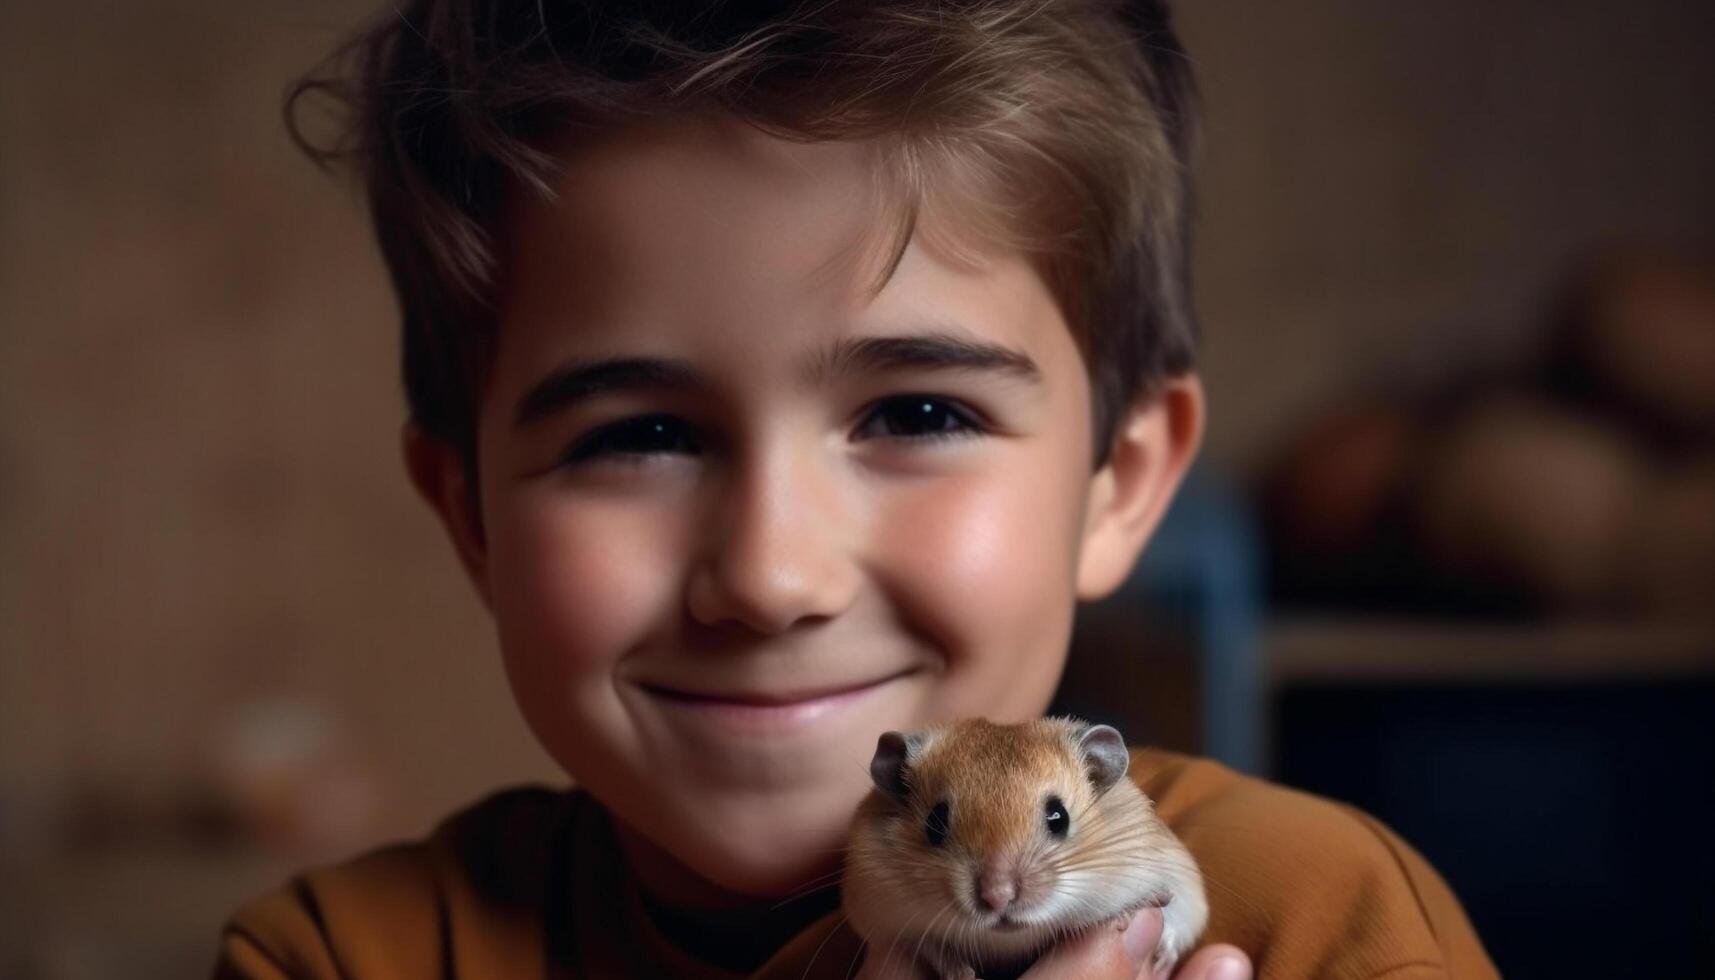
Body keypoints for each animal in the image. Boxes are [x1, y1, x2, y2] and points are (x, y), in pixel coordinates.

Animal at [843, 717, 1207, 974]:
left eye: (1059, 817)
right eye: (935, 822)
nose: (998, 898)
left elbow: (1174, 918)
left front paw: (1141, 929)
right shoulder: (877, 914)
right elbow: (928, 947)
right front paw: (961, 973)